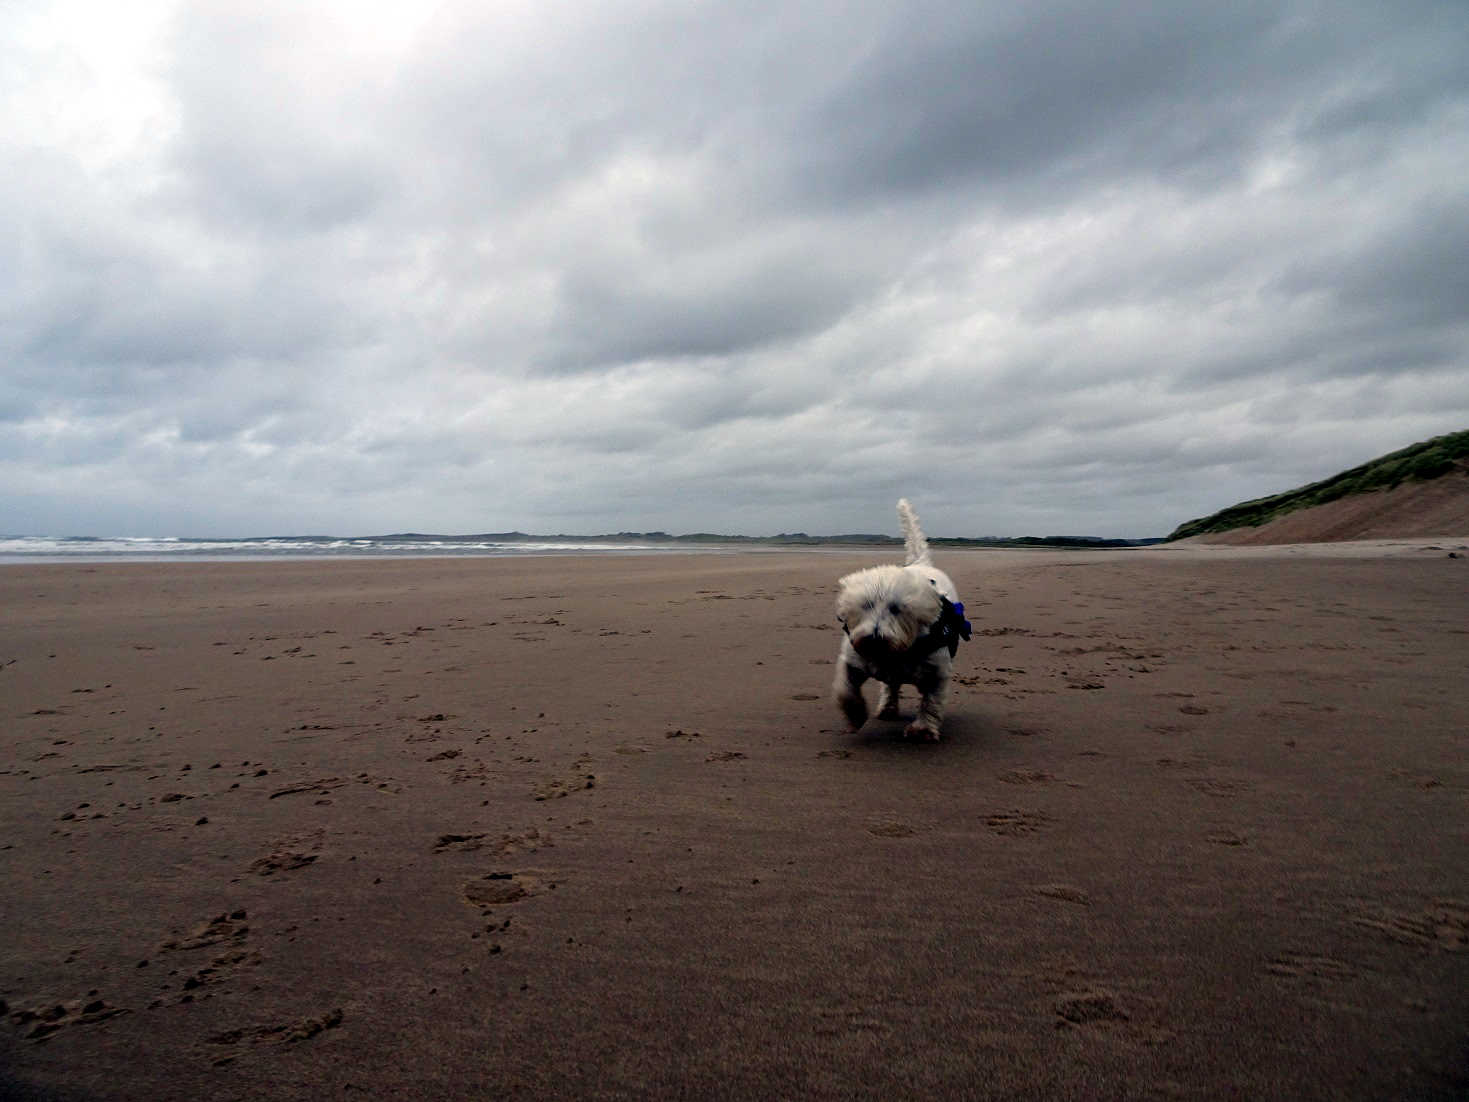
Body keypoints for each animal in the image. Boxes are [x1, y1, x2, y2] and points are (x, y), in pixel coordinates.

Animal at [834, 499, 969, 743]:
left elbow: (931, 701)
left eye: (897, 609)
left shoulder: (937, 672)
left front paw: (922, 730)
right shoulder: (853, 661)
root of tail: (920, 562)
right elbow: (846, 688)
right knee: (890, 686)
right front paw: (855, 715)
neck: (895, 655)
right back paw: (887, 709)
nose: (874, 640)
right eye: (866, 605)